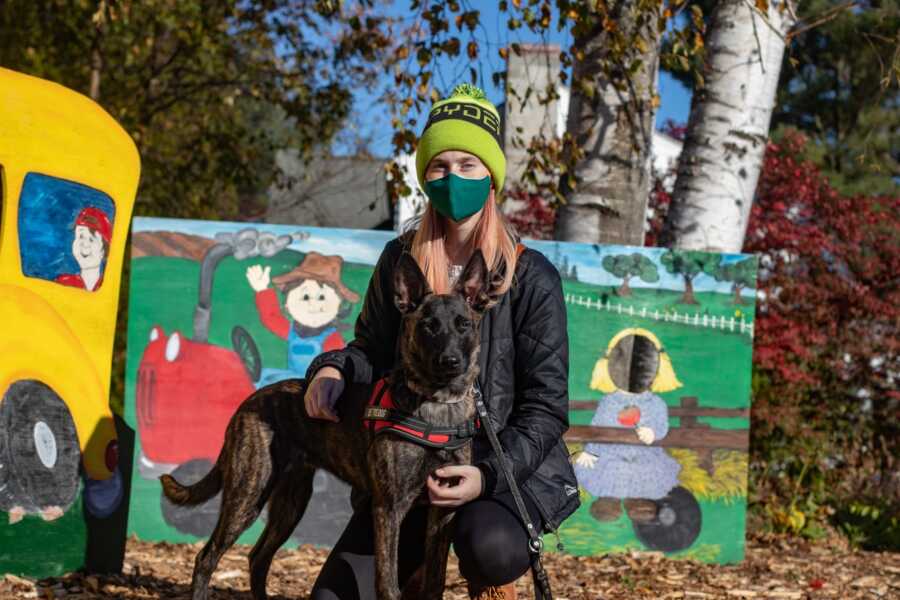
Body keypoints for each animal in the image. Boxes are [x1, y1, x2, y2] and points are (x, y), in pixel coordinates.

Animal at [165, 251, 496, 600]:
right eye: (428, 327)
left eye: (463, 325)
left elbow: (435, 582)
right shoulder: (389, 508)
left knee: (257, 557)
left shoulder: (444, 509)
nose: (451, 362)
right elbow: (387, 584)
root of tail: (248, 401)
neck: (436, 403)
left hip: (291, 501)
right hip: (249, 492)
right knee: (207, 556)